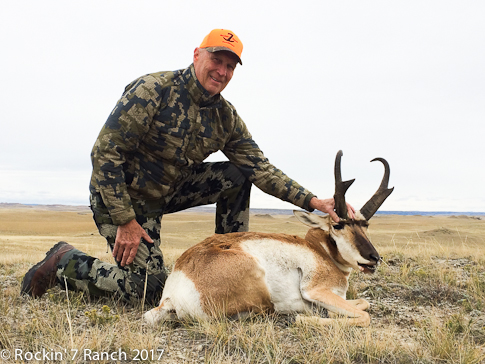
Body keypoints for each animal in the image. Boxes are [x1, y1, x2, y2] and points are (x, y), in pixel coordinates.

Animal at [144, 151, 394, 328]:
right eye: (338, 225)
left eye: (366, 225)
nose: (374, 258)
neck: (320, 251)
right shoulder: (317, 291)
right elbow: (364, 314)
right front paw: (305, 318)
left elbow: (364, 303)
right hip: (264, 295)